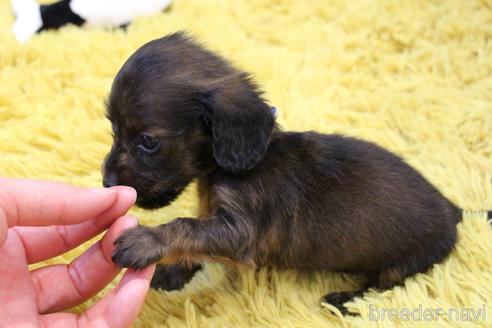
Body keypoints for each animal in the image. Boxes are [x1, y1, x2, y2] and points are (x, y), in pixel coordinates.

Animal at [103, 32, 480, 314]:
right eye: (113, 129)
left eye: (149, 142)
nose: (107, 182)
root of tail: (453, 210)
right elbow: (196, 239)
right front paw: (174, 272)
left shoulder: (241, 231)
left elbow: (185, 227)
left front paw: (146, 241)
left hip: (404, 262)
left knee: (382, 287)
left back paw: (343, 300)